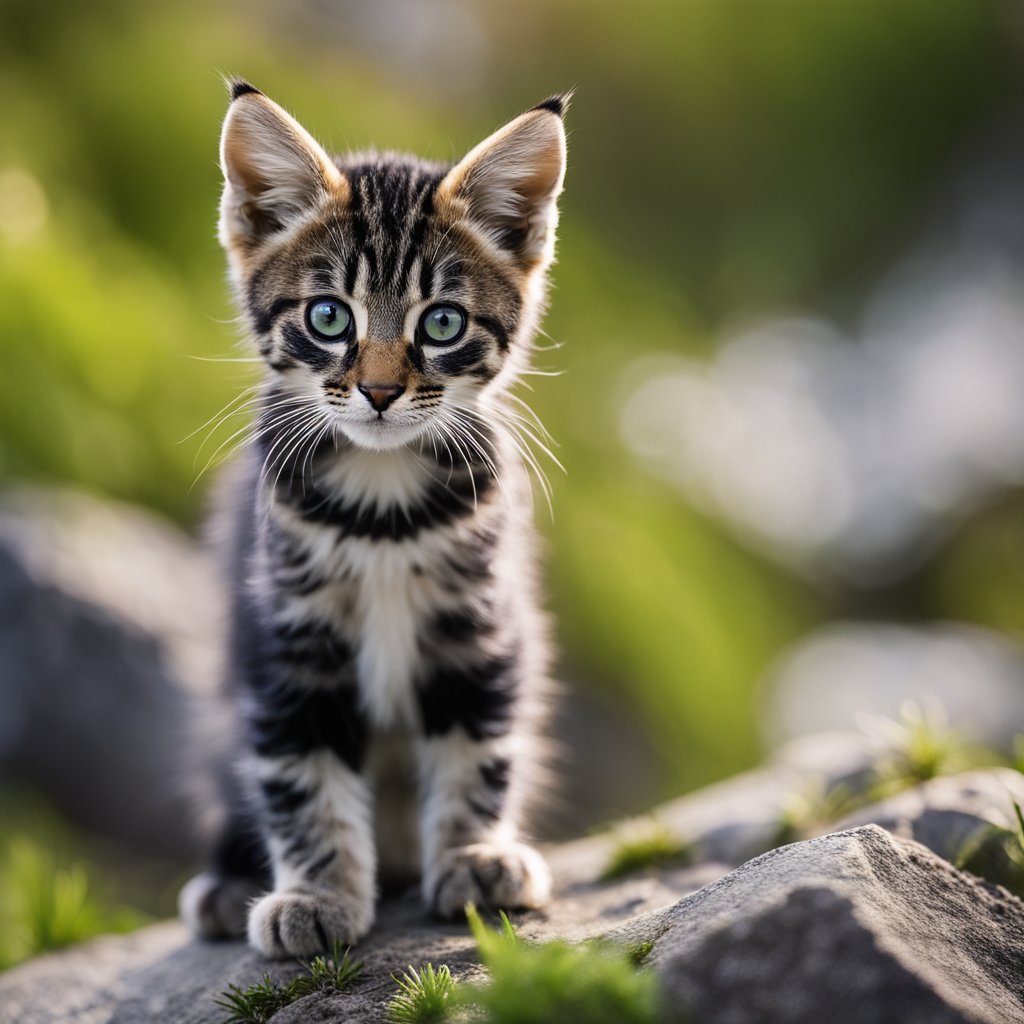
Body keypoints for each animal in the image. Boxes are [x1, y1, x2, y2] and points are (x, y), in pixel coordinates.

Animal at [180, 81, 573, 958]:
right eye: (329, 317)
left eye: (442, 322)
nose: (383, 391)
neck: (383, 504)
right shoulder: (286, 641)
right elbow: (303, 776)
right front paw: (317, 894)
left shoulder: (480, 625)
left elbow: (476, 750)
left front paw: (473, 855)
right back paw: (225, 883)